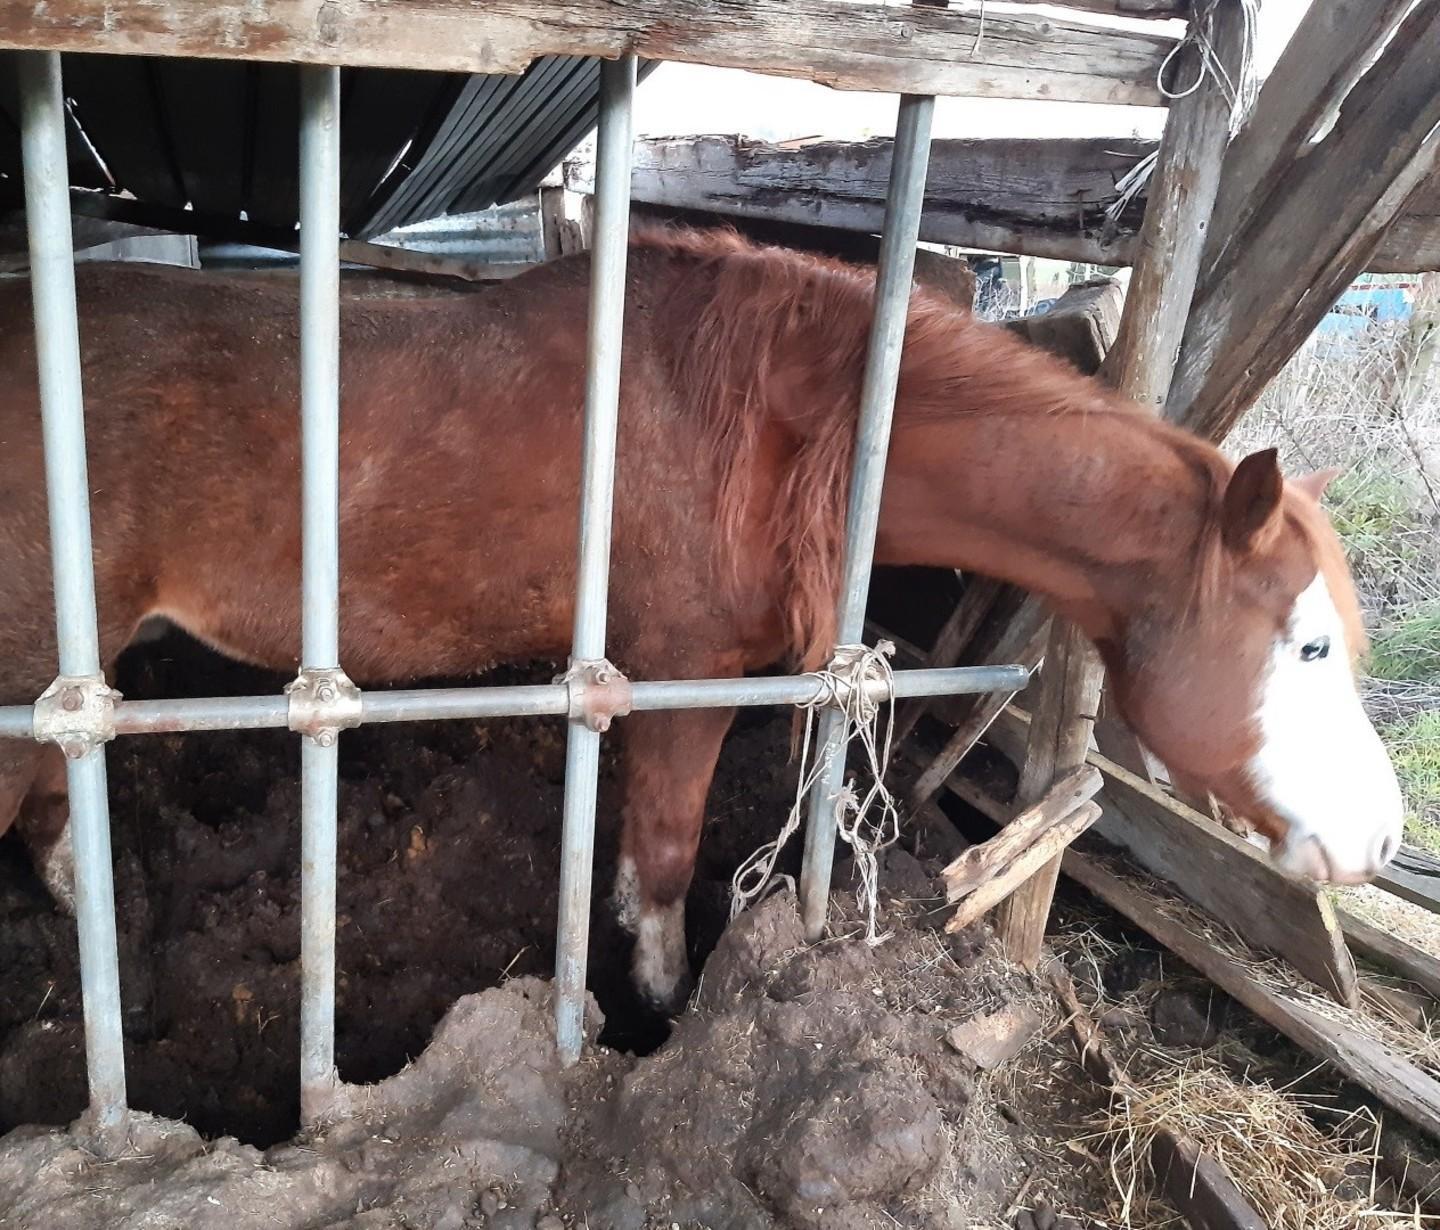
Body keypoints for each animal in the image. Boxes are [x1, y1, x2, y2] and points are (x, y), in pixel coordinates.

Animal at [0, 227, 1403, 1012]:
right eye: (1307, 647)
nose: (1383, 840)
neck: (786, 419)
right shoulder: (685, 675)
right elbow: (669, 861)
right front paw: (661, 999)